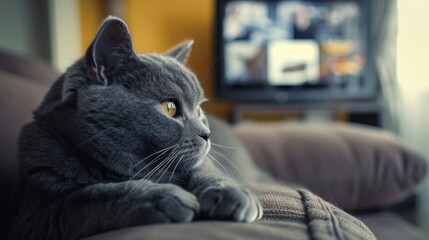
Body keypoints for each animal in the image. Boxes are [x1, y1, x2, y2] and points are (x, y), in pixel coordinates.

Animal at [7, 17, 260, 240]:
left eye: (198, 110)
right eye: (169, 108)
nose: (206, 134)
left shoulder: (200, 164)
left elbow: (205, 169)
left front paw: (232, 193)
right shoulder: (39, 213)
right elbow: (94, 196)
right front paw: (162, 196)